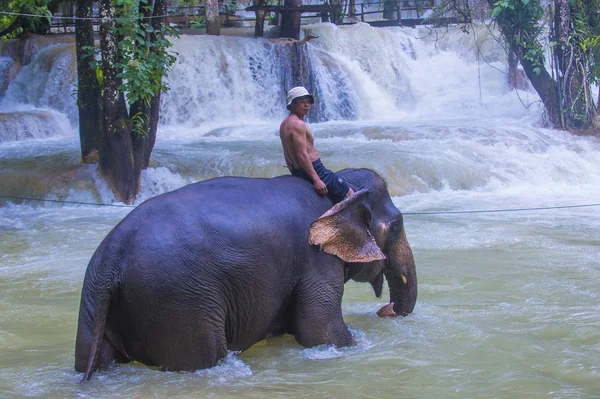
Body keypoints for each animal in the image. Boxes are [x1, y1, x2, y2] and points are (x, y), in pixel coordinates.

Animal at [75, 168, 418, 382]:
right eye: (397, 226)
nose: (386, 309)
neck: (342, 184)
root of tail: (113, 255)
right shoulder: (315, 259)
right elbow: (321, 333)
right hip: (179, 301)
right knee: (202, 357)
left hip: (94, 295)